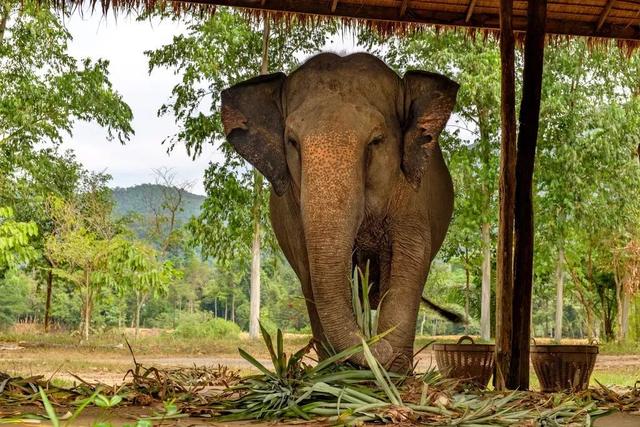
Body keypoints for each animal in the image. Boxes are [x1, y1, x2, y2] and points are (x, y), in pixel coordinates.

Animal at [221, 52, 460, 374]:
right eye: (292, 142)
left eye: (376, 141)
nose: (374, 344)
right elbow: (308, 266)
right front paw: (340, 369)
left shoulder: (413, 193)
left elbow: (411, 256)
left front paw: (393, 368)